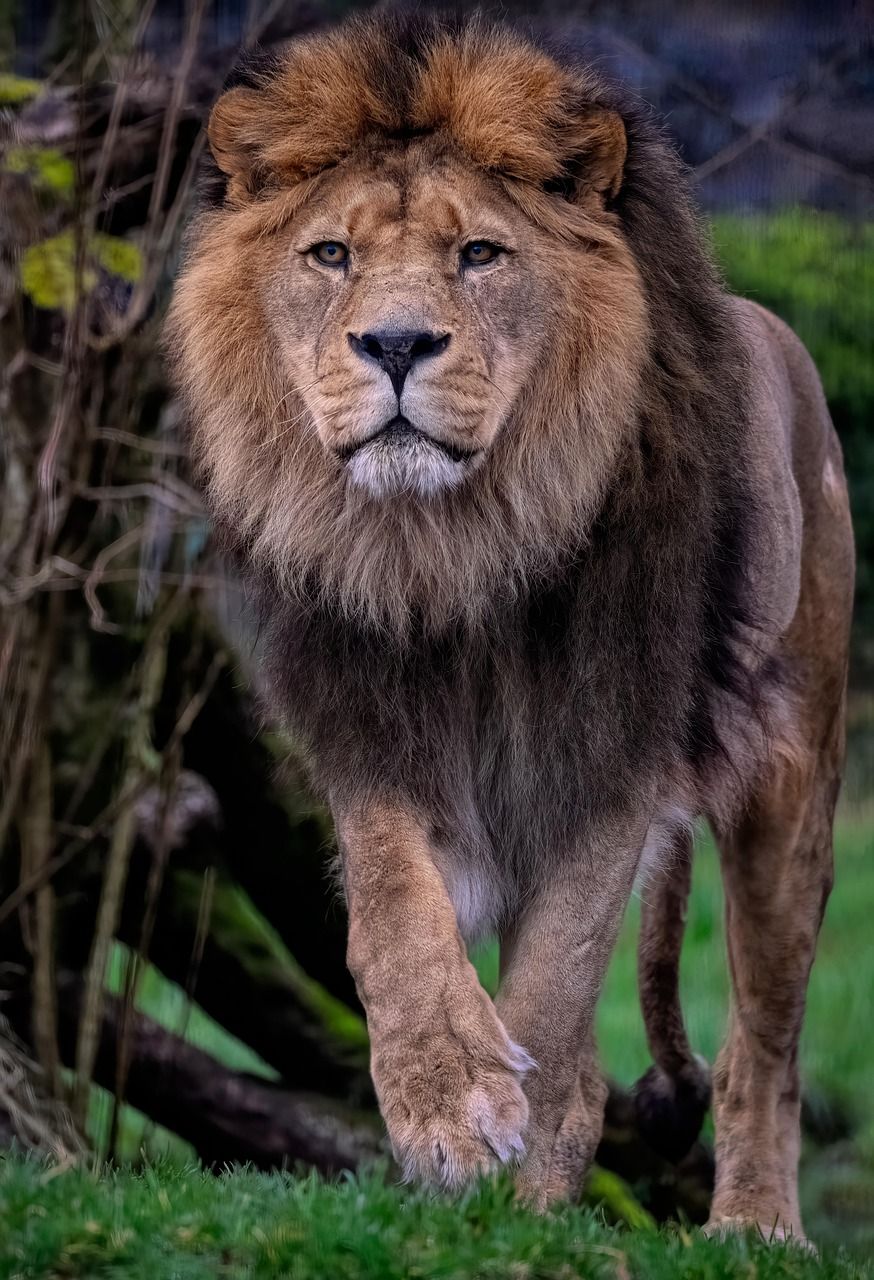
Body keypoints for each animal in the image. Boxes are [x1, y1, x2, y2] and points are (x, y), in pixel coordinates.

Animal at [167, 13, 854, 1240]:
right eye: (330, 256)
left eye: (481, 255)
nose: (395, 345)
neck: (457, 552)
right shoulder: (377, 733)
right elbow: (397, 922)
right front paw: (445, 1103)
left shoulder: (615, 753)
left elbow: (554, 984)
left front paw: (501, 1151)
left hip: (796, 781)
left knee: (762, 1047)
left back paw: (754, 1225)